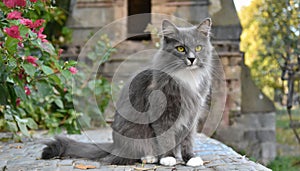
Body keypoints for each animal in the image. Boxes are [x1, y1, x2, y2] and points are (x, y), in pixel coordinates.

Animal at [41, 18, 213, 166]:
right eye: (180, 48)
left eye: (198, 48)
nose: (192, 59)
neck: (186, 77)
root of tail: (114, 145)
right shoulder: (162, 112)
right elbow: (166, 138)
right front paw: (168, 158)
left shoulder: (192, 114)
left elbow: (188, 140)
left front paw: (190, 158)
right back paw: (150, 157)